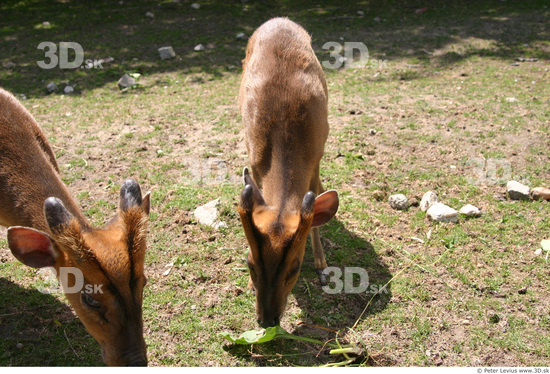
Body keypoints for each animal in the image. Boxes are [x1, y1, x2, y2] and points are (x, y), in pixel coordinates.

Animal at [238, 18, 340, 328]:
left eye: (295, 267)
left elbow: (316, 197)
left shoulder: (318, 153)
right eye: (249, 263)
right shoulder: (254, 159)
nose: (267, 320)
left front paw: (321, 264)